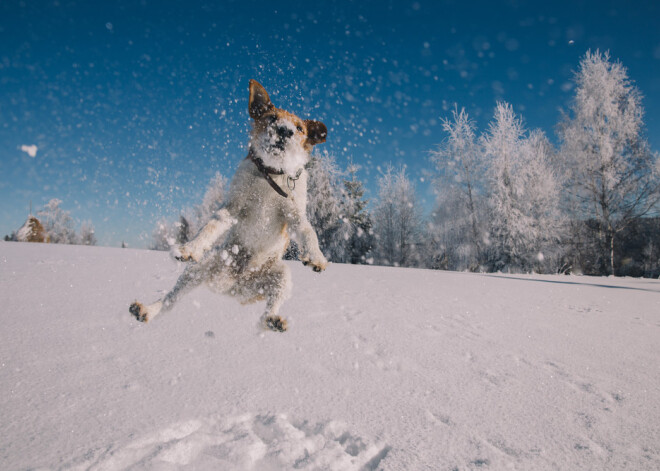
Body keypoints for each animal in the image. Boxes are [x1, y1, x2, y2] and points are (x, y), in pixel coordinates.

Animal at [131, 80, 330, 332]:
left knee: (267, 311)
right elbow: (211, 225)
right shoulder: (233, 207)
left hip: (280, 276)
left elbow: (308, 231)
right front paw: (189, 247)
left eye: (299, 128)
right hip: (200, 268)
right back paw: (147, 310)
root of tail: (231, 285)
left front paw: (316, 257)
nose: (285, 131)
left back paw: (273, 320)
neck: (270, 175)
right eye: (272, 117)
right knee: (170, 299)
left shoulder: (294, 214)